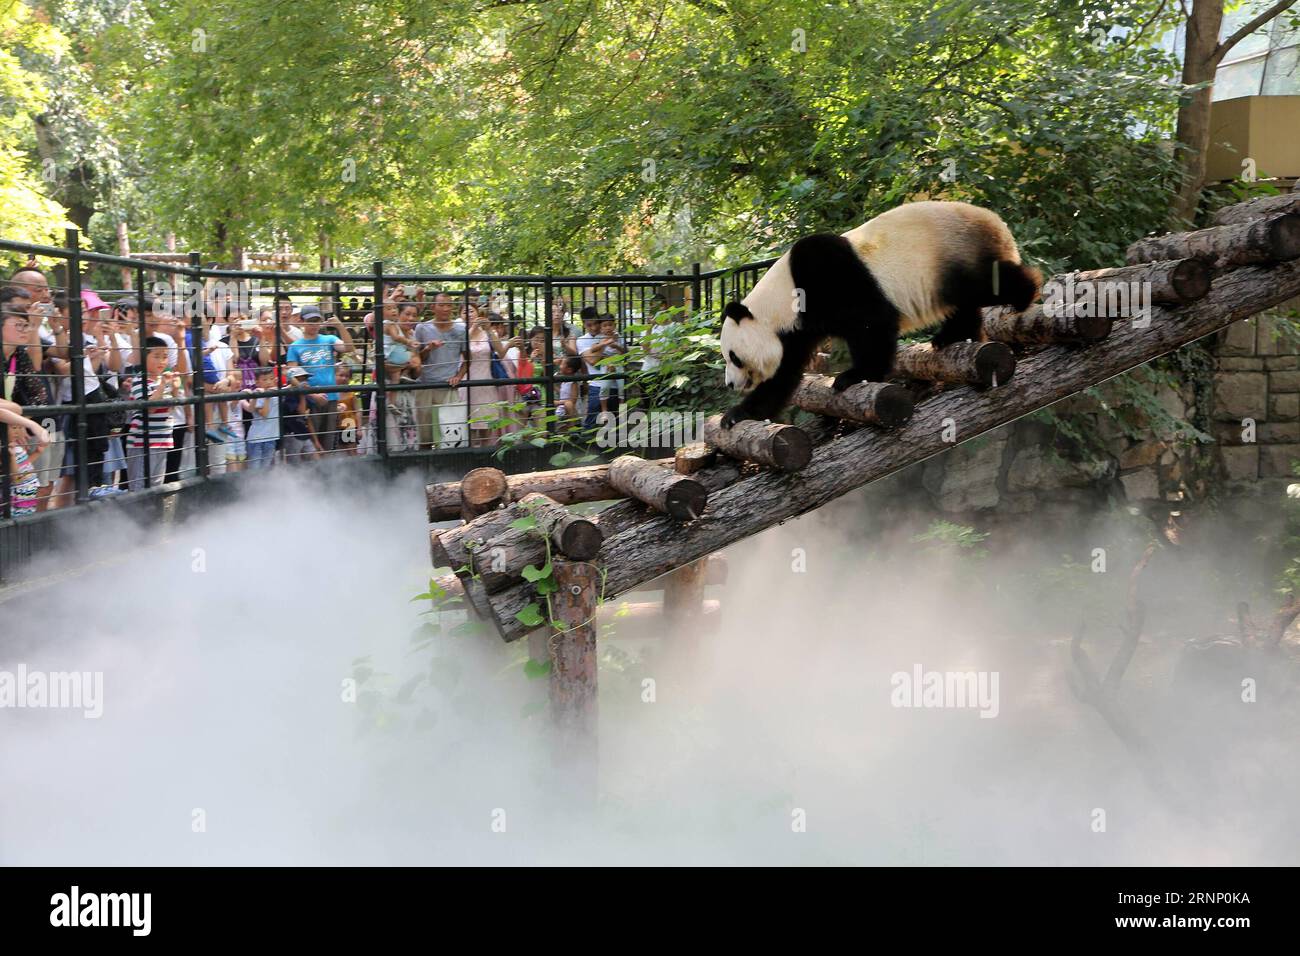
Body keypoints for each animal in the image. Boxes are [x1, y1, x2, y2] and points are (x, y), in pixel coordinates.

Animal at [719, 200, 1040, 429]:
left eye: (734, 356)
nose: (730, 384)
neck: (780, 299)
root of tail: (996, 221)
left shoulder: (827, 277)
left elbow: (873, 323)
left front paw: (854, 376)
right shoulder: (798, 329)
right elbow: (783, 375)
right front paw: (736, 415)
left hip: (955, 255)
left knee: (988, 285)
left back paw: (1025, 294)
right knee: (966, 303)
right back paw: (951, 336)